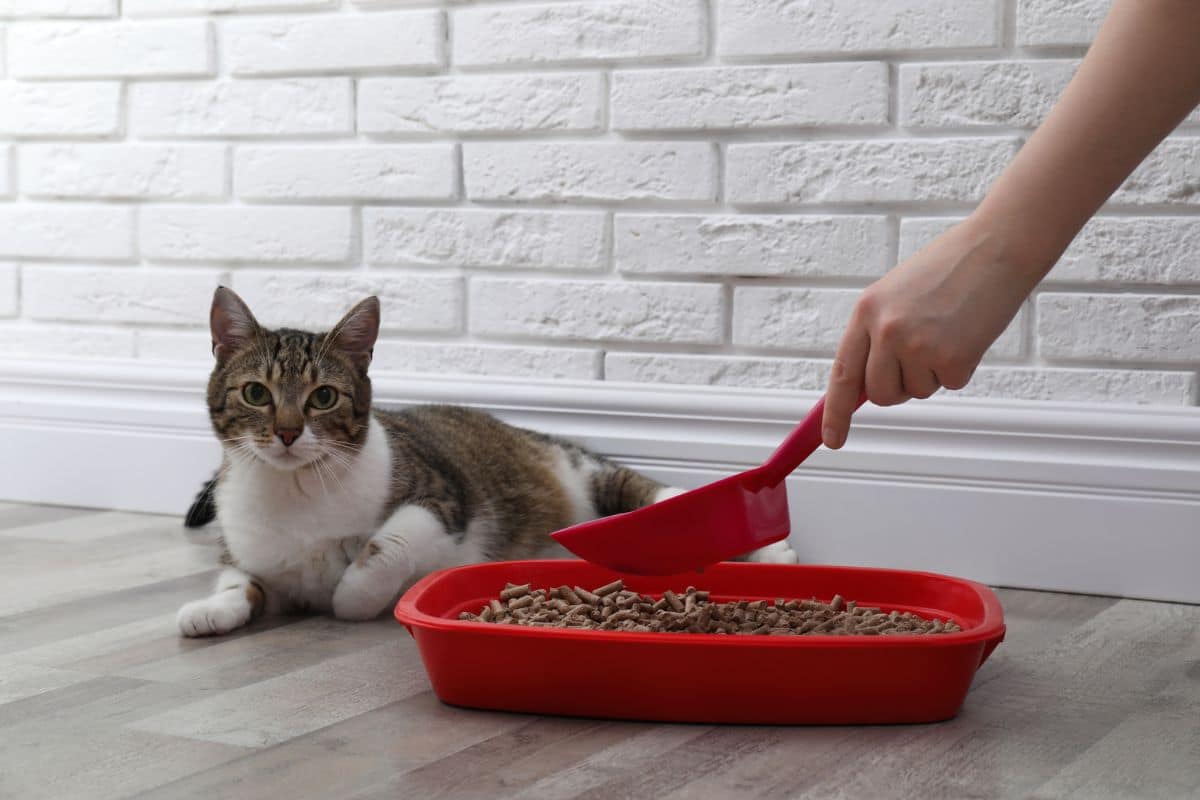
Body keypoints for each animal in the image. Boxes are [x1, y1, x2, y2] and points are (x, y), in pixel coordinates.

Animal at [177, 289, 796, 638]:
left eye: (323, 397)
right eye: (256, 393)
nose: (287, 432)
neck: (296, 489)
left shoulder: (442, 497)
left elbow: (386, 547)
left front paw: (351, 594)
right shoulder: (249, 553)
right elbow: (241, 584)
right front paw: (208, 611)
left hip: (589, 477)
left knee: (660, 498)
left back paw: (769, 547)